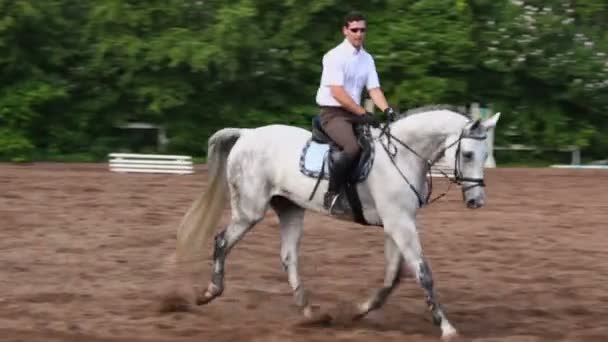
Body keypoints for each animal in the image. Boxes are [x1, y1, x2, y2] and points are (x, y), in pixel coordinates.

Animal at [173, 105, 502, 340]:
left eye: (485, 154)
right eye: (468, 154)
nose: (477, 201)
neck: (404, 156)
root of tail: (246, 133)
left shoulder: (397, 223)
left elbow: (392, 277)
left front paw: (359, 311)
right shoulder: (399, 223)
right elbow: (423, 273)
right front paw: (446, 327)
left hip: (290, 209)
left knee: (288, 257)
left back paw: (310, 314)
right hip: (249, 211)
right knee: (222, 241)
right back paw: (209, 292)